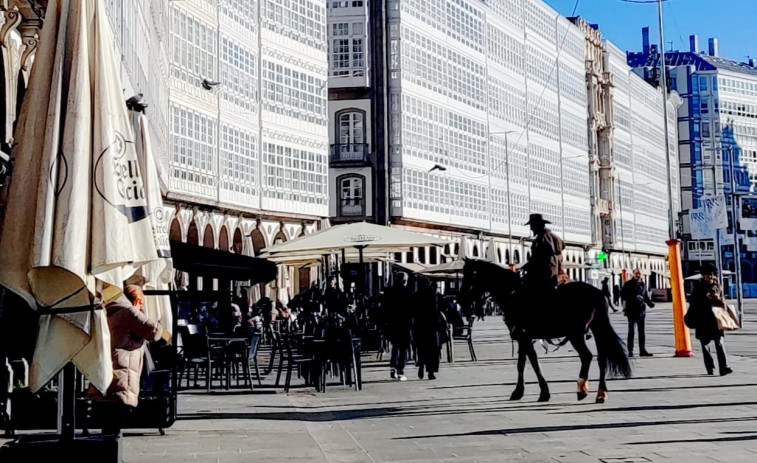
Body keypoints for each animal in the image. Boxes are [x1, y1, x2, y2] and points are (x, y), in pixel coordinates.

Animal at [458, 260, 628, 404]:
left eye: (471, 275)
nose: (461, 300)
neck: (512, 293)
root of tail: (598, 292)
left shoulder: (523, 336)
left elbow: (533, 362)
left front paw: (544, 392)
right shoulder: (522, 337)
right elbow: (521, 363)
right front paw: (519, 391)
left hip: (576, 334)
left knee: (586, 356)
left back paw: (581, 389)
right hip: (597, 329)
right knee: (601, 359)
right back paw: (601, 393)